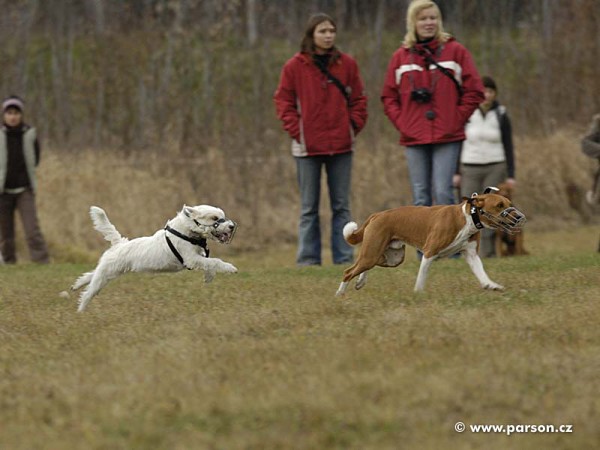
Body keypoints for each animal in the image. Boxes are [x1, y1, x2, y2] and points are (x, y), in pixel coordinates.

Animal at [70, 205, 237, 312]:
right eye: (214, 218)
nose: (232, 226)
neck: (186, 231)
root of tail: (120, 244)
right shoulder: (191, 259)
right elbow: (214, 261)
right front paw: (230, 268)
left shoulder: (198, 257)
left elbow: (210, 263)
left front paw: (209, 277)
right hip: (105, 275)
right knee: (88, 293)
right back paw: (81, 311)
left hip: (109, 272)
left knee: (91, 275)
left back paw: (77, 284)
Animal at [336, 189, 528, 298]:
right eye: (499, 205)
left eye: (509, 203)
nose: (519, 217)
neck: (467, 218)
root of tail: (377, 214)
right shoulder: (429, 252)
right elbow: (421, 277)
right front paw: (418, 294)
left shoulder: (471, 254)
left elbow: (481, 274)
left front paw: (491, 285)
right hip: (373, 252)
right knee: (348, 271)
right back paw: (340, 294)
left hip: (391, 258)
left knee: (366, 266)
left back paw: (360, 282)